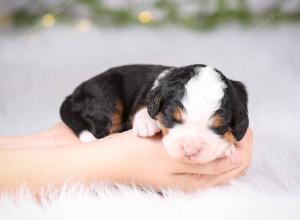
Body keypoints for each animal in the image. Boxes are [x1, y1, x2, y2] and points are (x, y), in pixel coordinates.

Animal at [59, 64, 247, 163]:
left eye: (219, 127)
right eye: (172, 118)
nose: (190, 149)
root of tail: (73, 95)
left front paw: (227, 148)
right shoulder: (148, 93)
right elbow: (144, 107)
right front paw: (146, 124)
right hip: (106, 96)